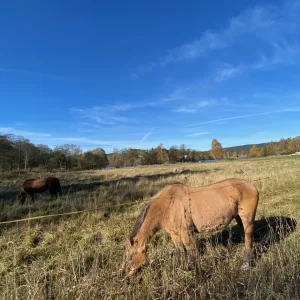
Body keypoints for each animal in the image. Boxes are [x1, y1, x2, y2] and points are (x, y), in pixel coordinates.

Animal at [122, 177, 258, 278]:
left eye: (130, 256)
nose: (124, 276)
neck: (168, 205)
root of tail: (251, 186)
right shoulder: (175, 235)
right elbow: (180, 252)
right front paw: (181, 270)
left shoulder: (186, 233)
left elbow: (192, 253)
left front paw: (198, 275)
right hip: (239, 218)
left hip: (247, 219)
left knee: (248, 239)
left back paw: (246, 265)